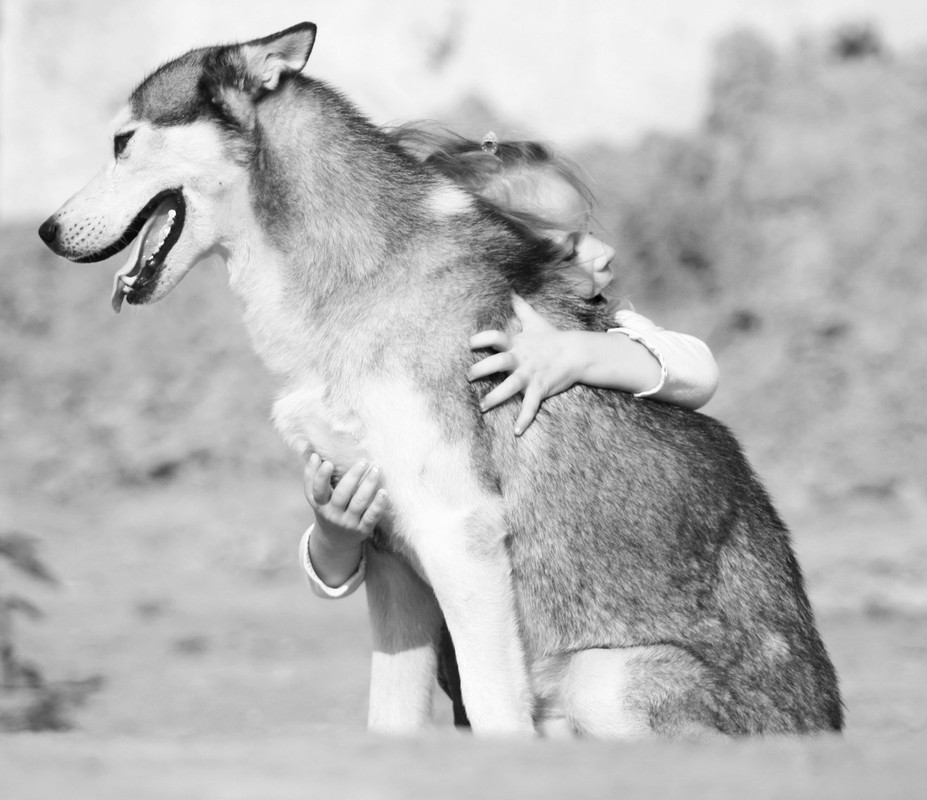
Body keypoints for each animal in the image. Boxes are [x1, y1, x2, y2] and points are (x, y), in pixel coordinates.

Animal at [40, 23, 844, 736]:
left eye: (122, 141)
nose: (46, 230)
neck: (362, 279)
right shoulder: (389, 551)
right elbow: (389, 719)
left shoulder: (458, 536)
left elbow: (493, 714)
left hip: (603, 677)